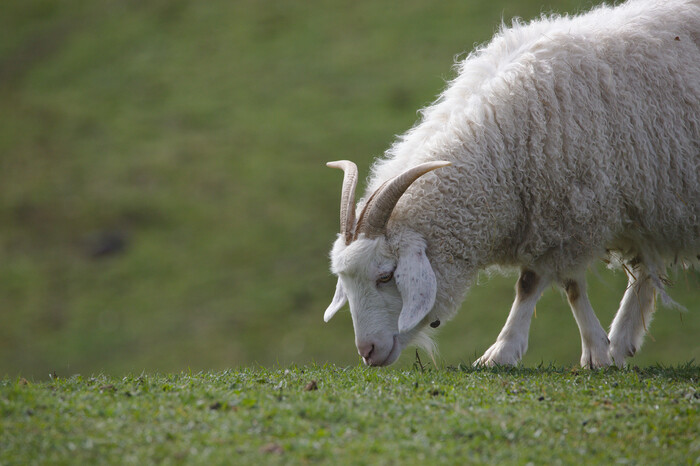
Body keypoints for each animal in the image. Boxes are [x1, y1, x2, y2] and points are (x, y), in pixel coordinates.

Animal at [324, 0, 700, 370]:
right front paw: (599, 349)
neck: (504, 145)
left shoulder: (567, 215)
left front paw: (511, 352)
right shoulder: (562, 219)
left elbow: (542, 285)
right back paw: (623, 342)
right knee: (645, 269)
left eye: (386, 276)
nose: (367, 351)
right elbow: (568, 283)